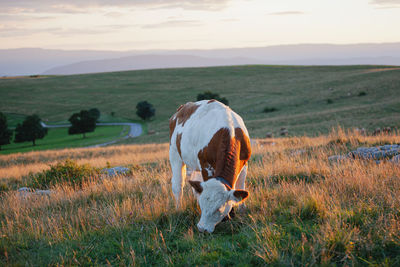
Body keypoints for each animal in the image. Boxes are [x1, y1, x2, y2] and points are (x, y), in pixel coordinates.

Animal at [170, 99, 252, 233]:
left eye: (218, 209)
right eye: (202, 205)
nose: (201, 228)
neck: (230, 132)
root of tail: (182, 108)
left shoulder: (244, 163)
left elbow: (240, 186)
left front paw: (239, 211)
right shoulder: (205, 165)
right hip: (174, 153)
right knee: (178, 185)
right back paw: (178, 209)